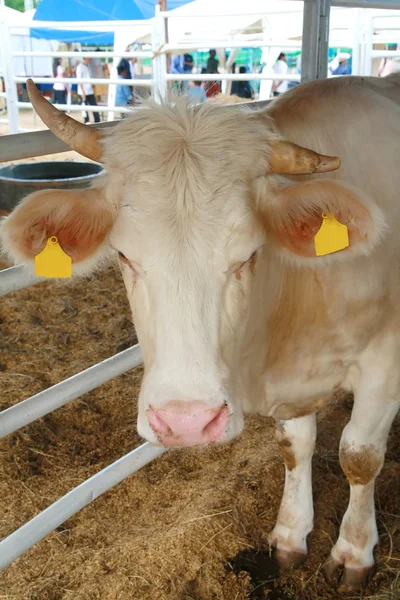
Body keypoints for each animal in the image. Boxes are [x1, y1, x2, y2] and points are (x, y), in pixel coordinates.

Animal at [0, 74, 400, 592]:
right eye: (123, 254)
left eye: (249, 252)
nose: (187, 423)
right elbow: (295, 446)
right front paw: (290, 536)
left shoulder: (385, 364)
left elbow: (359, 455)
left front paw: (353, 553)